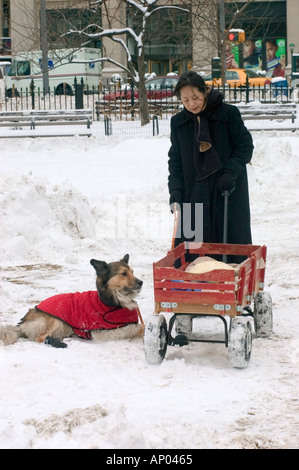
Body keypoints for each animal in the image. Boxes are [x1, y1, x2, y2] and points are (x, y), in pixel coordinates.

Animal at [0, 253, 145, 348]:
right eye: (124, 274)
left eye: (132, 272)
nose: (141, 282)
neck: (112, 301)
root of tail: (21, 324)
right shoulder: (103, 332)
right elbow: (138, 328)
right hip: (54, 320)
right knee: (40, 338)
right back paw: (57, 342)